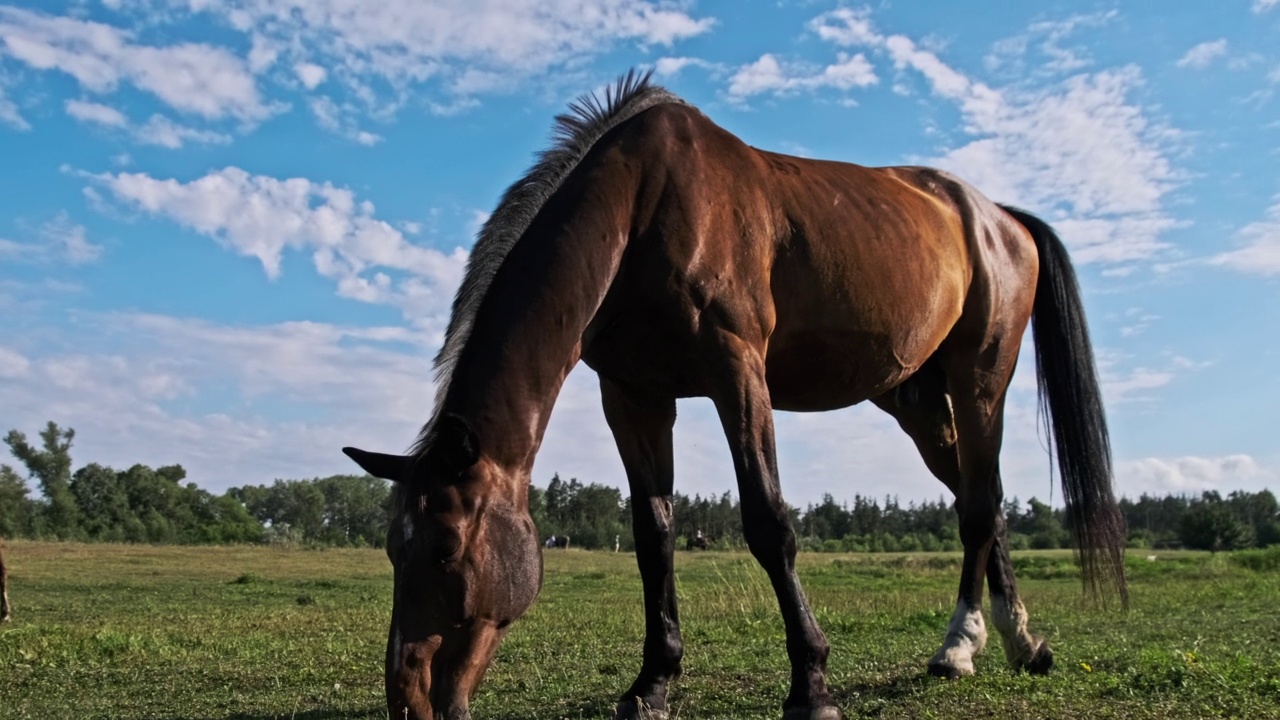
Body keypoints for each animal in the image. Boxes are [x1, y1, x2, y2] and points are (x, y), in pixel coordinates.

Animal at [343, 71, 1131, 717]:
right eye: (391, 551)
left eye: (447, 550)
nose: (409, 700)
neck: (643, 206)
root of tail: (997, 217)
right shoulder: (632, 395)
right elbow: (653, 534)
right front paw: (653, 683)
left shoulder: (737, 371)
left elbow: (768, 523)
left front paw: (811, 685)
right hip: (918, 404)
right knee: (979, 499)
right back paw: (1010, 642)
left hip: (980, 380)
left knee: (980, 505)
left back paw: (969, 644)